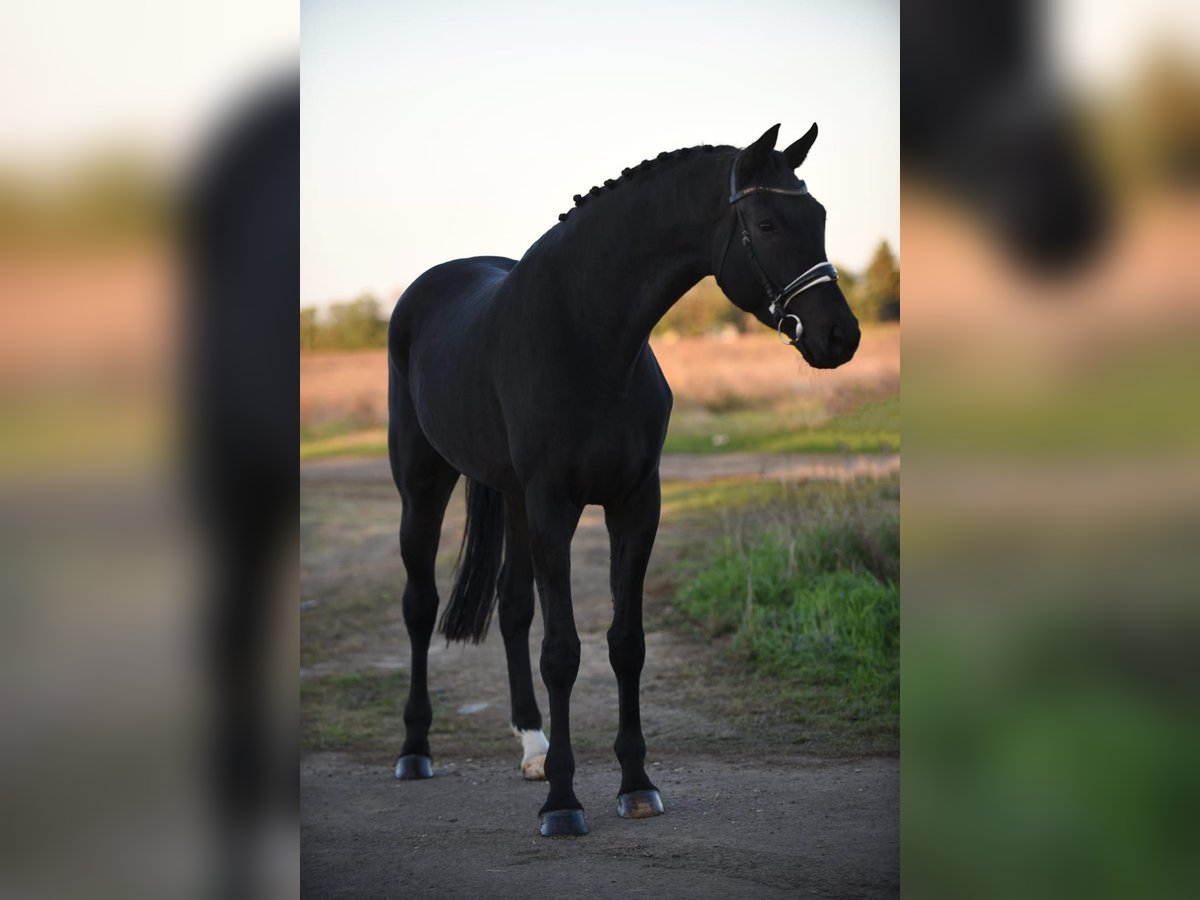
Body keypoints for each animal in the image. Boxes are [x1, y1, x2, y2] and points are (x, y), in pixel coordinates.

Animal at [388, 125, 859, 840]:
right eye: (768, 222)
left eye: (822, 217)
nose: (841, 336)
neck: (588, 335)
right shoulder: (555, 506)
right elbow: (562, 651)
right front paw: (563, 803)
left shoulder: (635, 504)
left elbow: (625, 644)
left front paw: (636, 784)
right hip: (424, 486)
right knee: (420, 605)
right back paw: (416, 751)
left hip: (514, 501)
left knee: (512, 606)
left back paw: (532, 747)